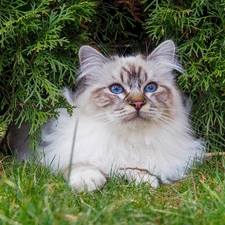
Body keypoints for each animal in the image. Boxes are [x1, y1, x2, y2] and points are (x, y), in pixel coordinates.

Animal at [7, 40, 205, 192]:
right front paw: (89, 180)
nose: (137, 103)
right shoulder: (56, 153)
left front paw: (145, 181)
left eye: (150, 88)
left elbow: (132, 168)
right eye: (116, 89)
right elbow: (80, 164)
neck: (130, 139)